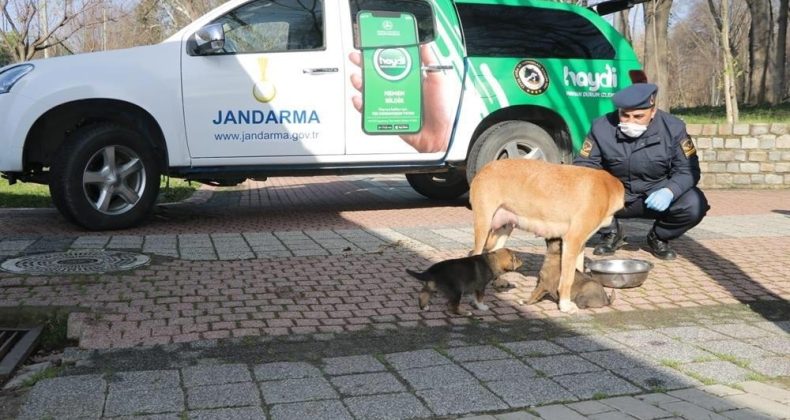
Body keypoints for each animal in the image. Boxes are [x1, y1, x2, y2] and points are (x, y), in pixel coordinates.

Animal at [470, 159, 624, 314]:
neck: (606, 188)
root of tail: (485, 167)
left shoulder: (580, 245)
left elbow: (578, 271)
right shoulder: (572, 241)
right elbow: (567, 278)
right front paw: (565, 305)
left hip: (505, 228)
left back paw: (498, 281)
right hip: (484, 224)